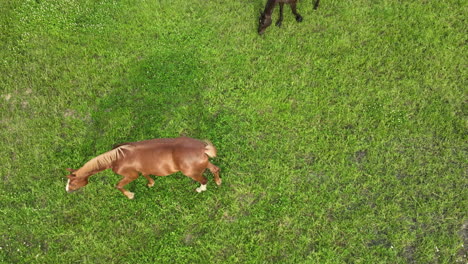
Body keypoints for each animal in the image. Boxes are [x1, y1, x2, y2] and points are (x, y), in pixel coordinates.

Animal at [64, 137, 223, 199]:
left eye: (72, 182)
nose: (67, 190)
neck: (117, 158)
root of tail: (203, 148)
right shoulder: (143, 169)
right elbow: (147, 174)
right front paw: (151, 184)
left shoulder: (131, 175)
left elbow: (118, 185)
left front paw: (130, 195)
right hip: (205, 165)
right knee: (215, 169)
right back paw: (218, 181)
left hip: (192, 173)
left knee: (204, 180)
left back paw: (200, 189)